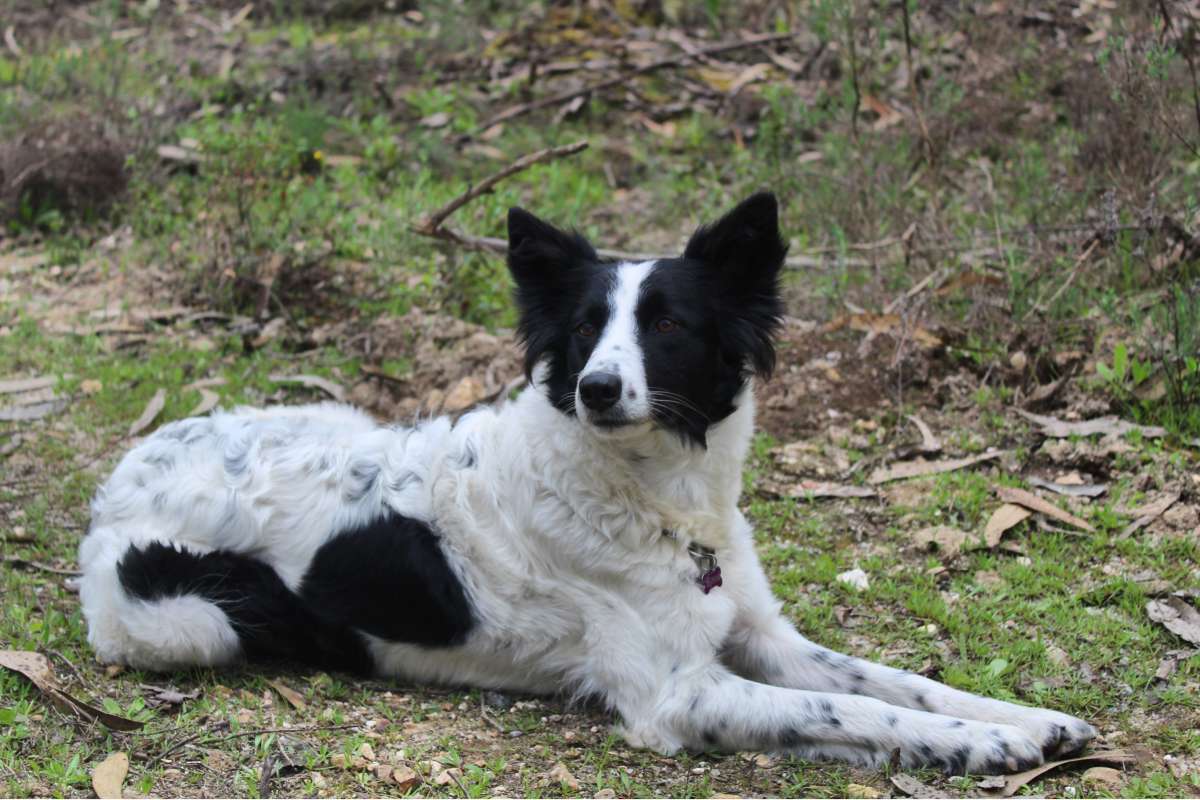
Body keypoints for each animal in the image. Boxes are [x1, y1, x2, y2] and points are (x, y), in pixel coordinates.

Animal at [77, 190, 1099, 772]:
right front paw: (986, 747)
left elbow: (897, 683)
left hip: (339, 418)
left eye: (669, 326)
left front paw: (1029, 720)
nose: (596, 388)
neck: (662, 502)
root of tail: (119, 477)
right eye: (582, 332)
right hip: (197, 620)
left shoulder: (761, 637)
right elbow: (851, 708)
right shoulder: (675, 696)